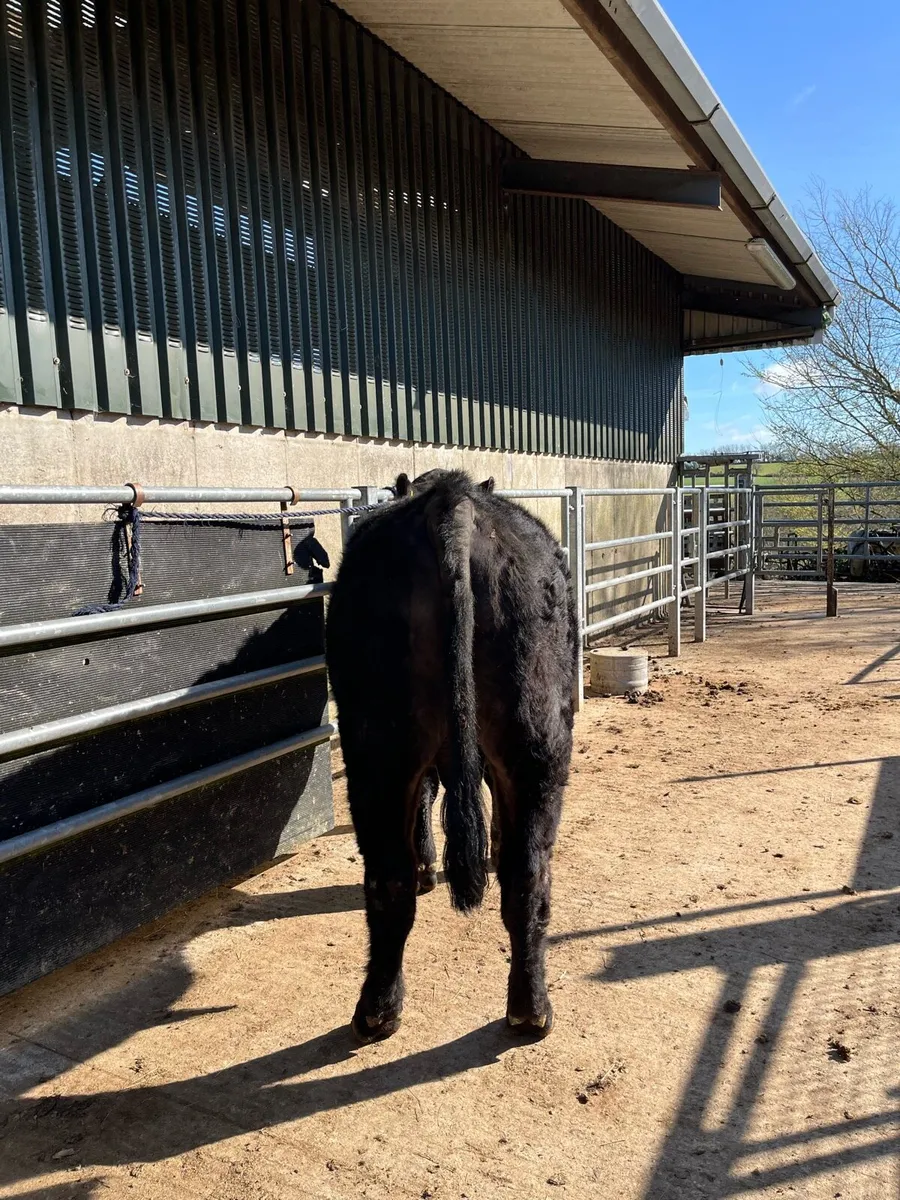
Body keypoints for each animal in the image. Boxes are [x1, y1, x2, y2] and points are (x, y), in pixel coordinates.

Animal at [325, 469, 578, 1044]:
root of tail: (451, 498)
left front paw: (429, 864)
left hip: (379, 750)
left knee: (390, 878)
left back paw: (377, 1010)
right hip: (534, 740)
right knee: (527, 872)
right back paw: (530, 1009)